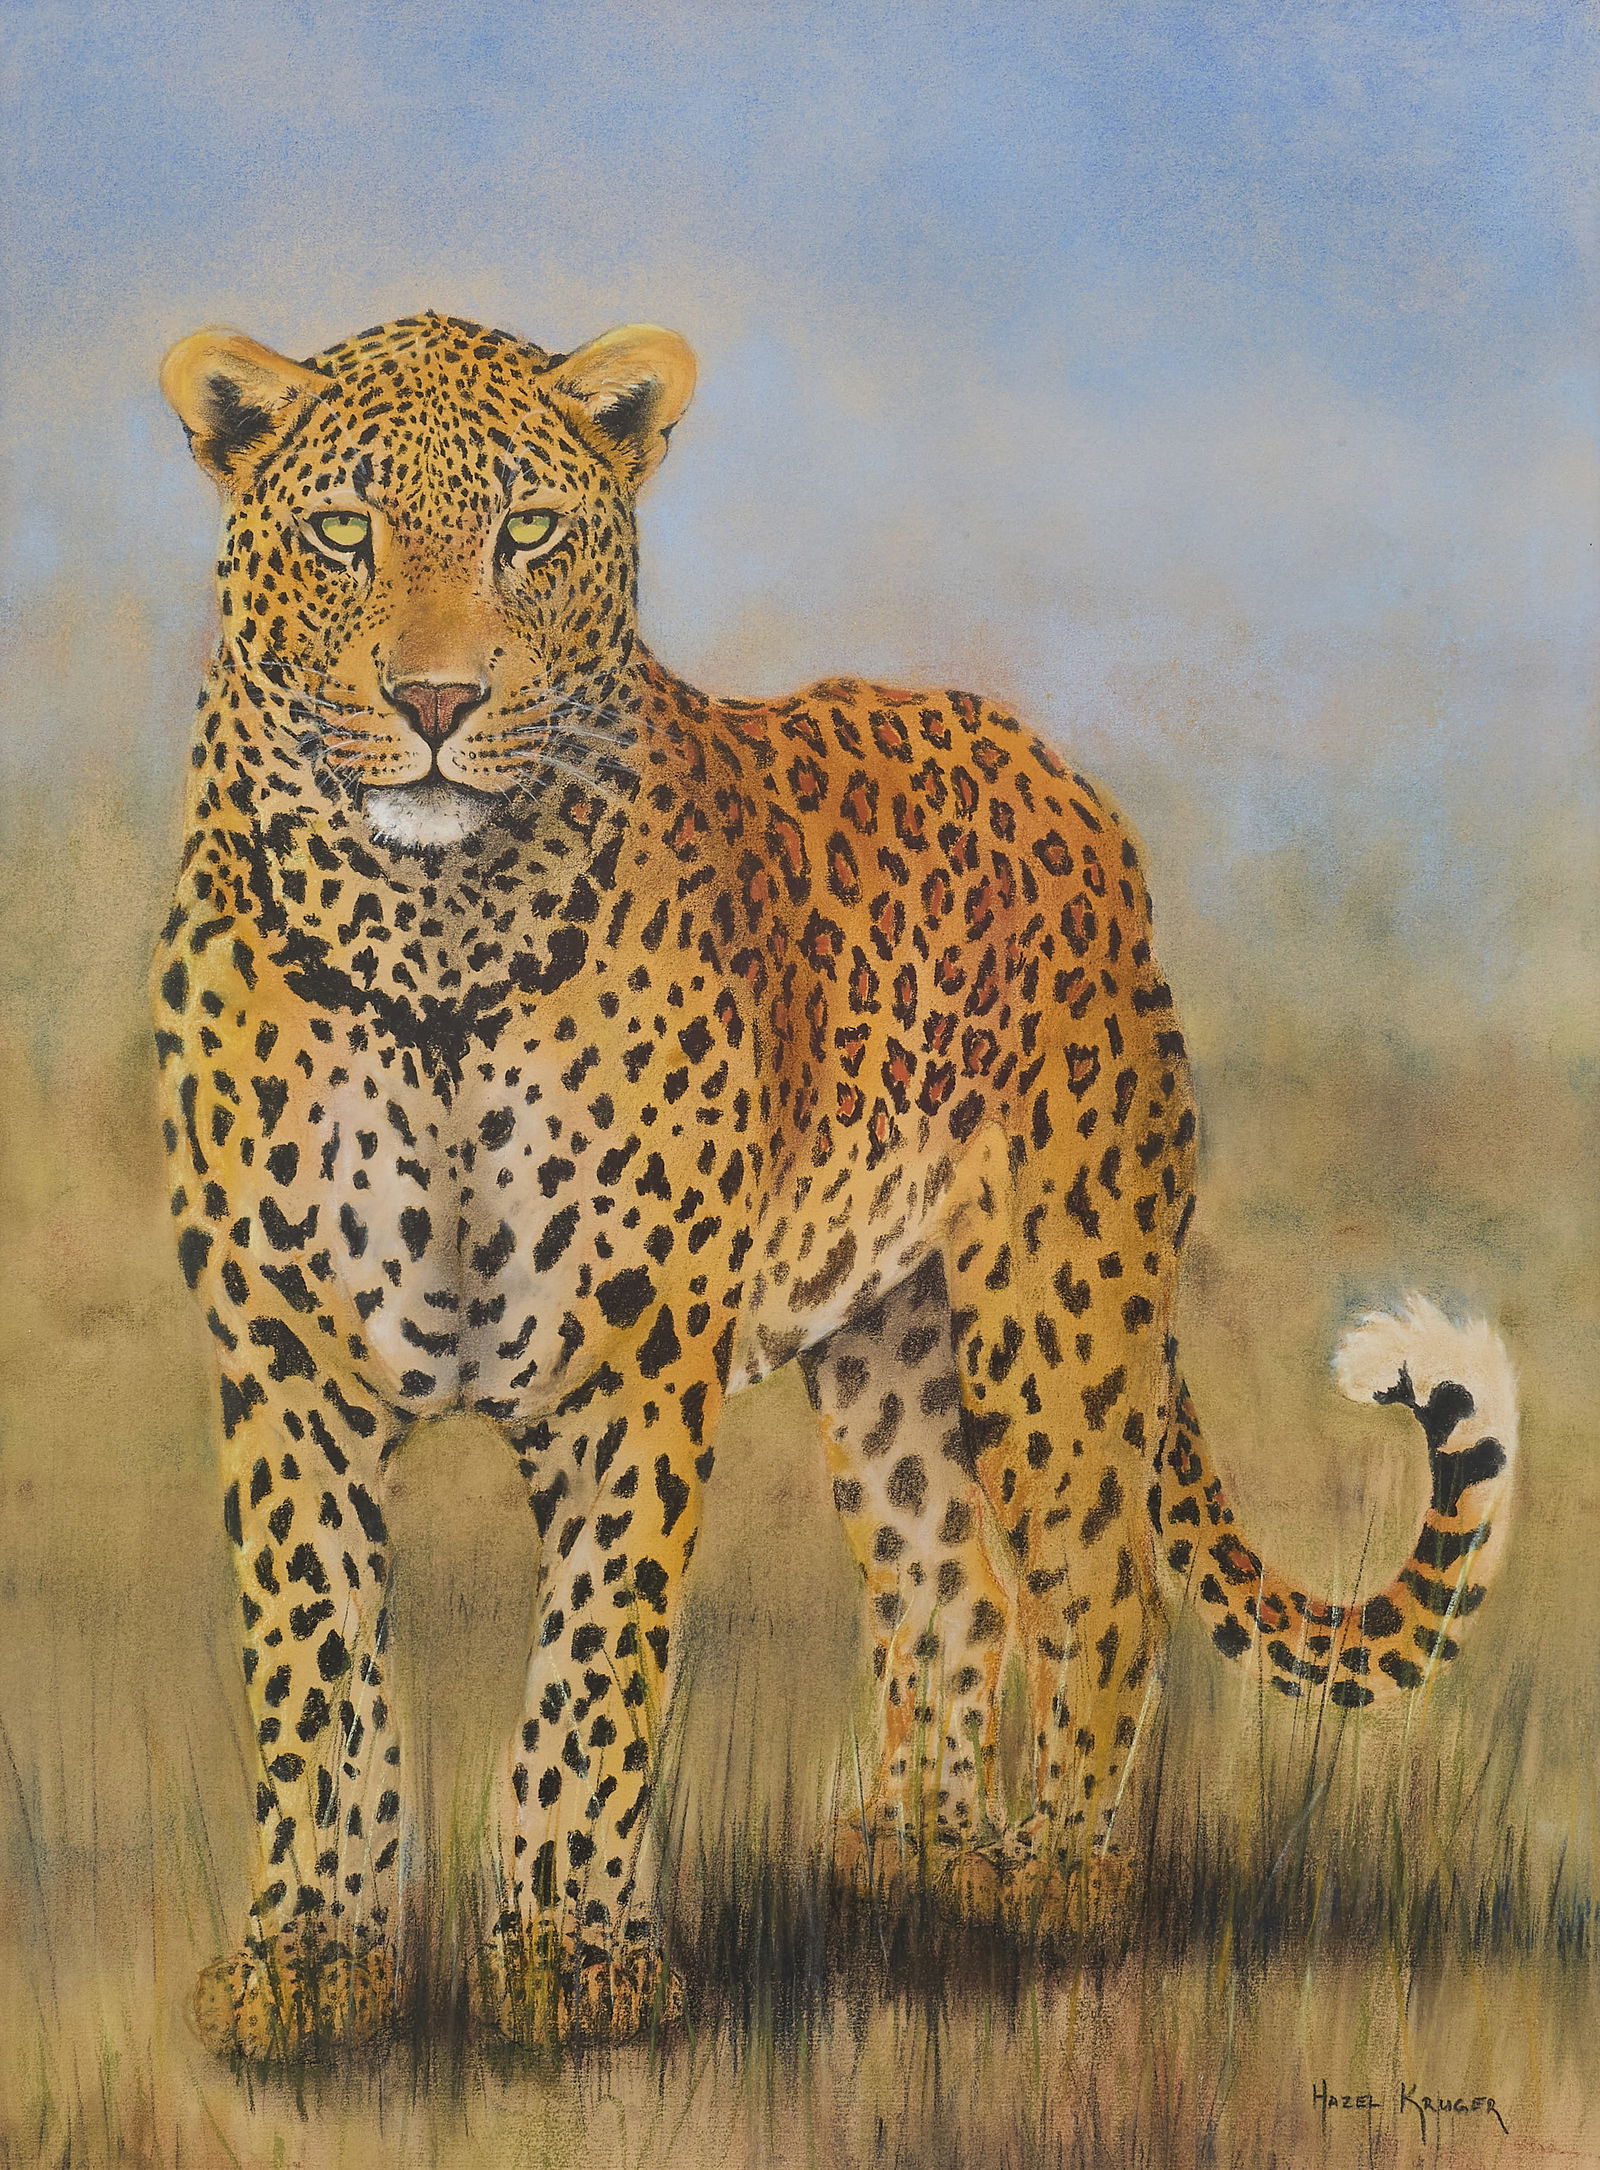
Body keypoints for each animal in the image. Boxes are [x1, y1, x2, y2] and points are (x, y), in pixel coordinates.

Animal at [155, 309, 1518, 2057]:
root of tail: (1056, 772)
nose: (439, 695)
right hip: (888, 1348)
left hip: (1055, 1313)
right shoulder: (287, 1362)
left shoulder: (631, 1363)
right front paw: (310, 1966)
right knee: (950, 1586)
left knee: (1101, 1583)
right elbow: (314, 1674)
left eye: (529, 531)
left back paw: (1053, 1880)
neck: (431, 932)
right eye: (343, 532)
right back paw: (914, 1848)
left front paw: (577, 1963)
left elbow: (592, 1668)